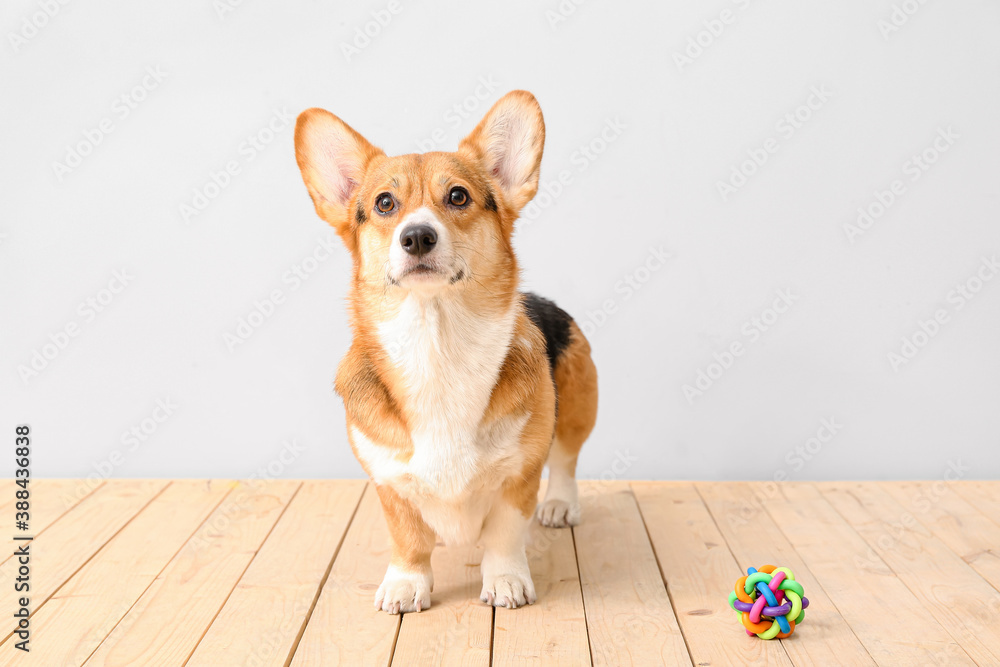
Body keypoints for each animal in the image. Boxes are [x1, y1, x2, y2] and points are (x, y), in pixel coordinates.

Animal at [292, 91, 596, 612]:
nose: (416, 236)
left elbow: (504, 536)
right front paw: (405, 584)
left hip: (576, 408)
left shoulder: (518, 476)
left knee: (565, 460)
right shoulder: (389, 482)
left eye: (458, 196)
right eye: (384, 203)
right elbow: (408, 540)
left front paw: (506, 581)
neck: (436, 346)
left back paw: (559, 504)